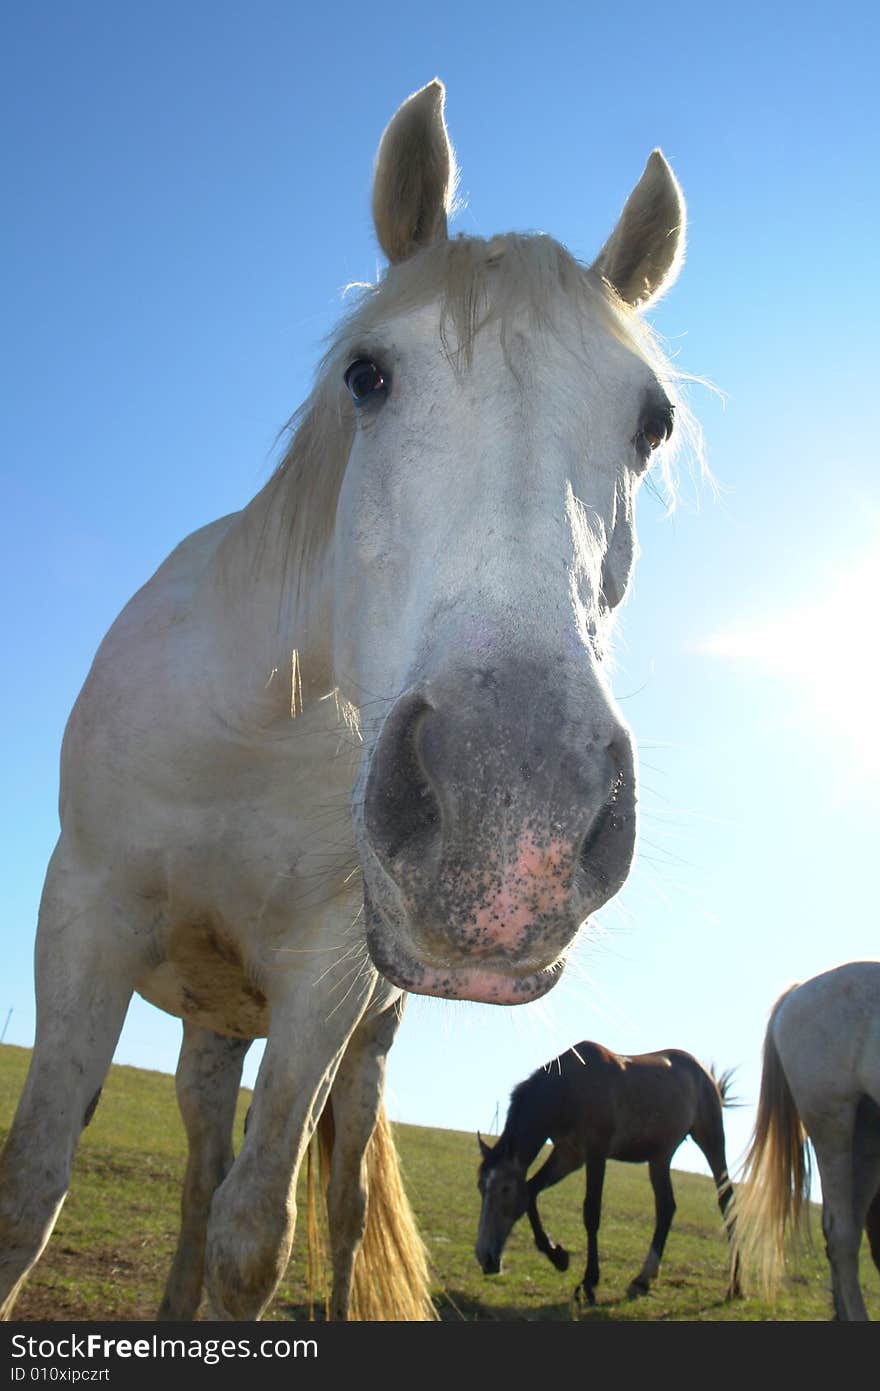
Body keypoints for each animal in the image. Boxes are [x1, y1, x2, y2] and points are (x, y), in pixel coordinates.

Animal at [0, 81, 692, 1318]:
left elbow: (256, 1238)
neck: (252, 731)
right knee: (198, 1165)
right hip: (211, 1024)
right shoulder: (82, 915)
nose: (508, 831)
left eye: (649, 423)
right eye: (367, 375)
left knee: (328, 1196)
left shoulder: (325, 983)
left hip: (351, 1050)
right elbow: (32, 1188)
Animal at [472, 1046, 734, 1301]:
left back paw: (735, 1286)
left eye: (505, 1189)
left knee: (726, 1199)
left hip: (711, 1140)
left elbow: (591, 1213)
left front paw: (589, 1282)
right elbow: (530, 1192)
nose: (484, 1257)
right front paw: (558, 1256)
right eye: (481, 1187)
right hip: (660, 1157)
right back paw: (644, 1277)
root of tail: (705, 1073)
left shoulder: (595, 1155)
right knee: (666, 1208)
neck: (568, 1089)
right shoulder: (569, 1156)